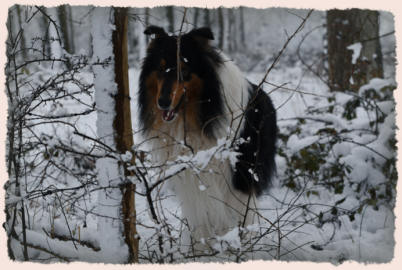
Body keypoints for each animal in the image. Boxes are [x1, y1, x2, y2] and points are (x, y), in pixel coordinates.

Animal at [138, 26, 276, 244]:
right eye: (160, 69)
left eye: (184, 70)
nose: (163, 103)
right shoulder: (192, 180)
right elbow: (201, 220)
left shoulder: (239, 178)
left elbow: (240, 217)